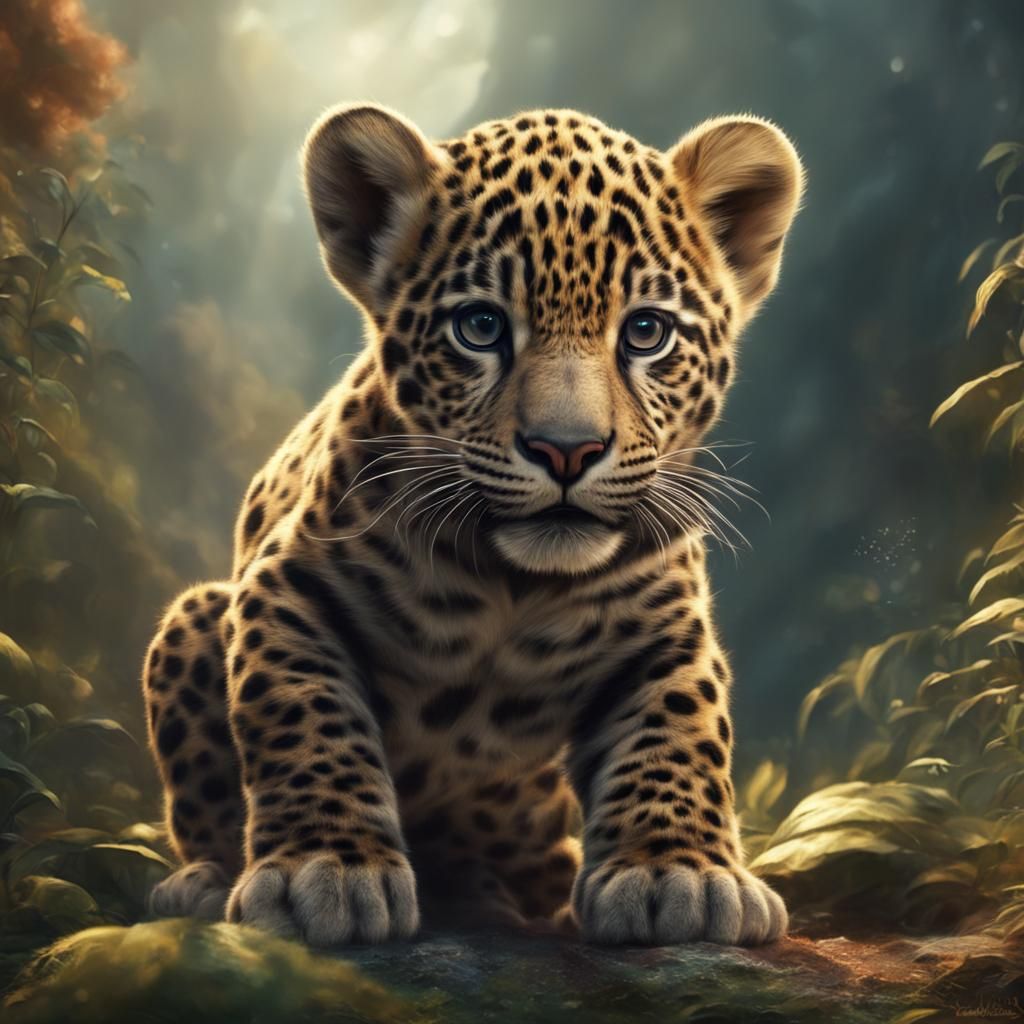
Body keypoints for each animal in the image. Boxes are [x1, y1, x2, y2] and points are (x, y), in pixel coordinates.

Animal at [142, 101, 804, 947]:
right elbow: (303, 714)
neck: (514, 586)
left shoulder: (667, 629)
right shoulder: (284, 589)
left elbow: (679, 730)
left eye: (647, 332)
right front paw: (325, 869)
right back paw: (202, 881)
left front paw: (677, 871)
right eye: (481, 327)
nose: (566, 449)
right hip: (196, 612)